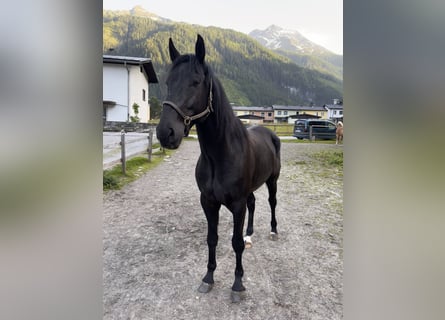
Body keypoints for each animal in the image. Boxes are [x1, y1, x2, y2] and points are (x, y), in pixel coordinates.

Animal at [157, 35, 280, 302]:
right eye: (168, 82)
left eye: (195, 82)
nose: (165, 133)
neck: (221, 155)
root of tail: (269, 132)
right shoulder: (208, 202)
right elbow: (212, 239)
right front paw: (208, 277)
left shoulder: (236, 204)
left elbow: (235, 243)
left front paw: (237, 284)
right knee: (254, 204)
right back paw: (250, 232)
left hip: (273, 180)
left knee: (272, 203)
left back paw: (274, 231)